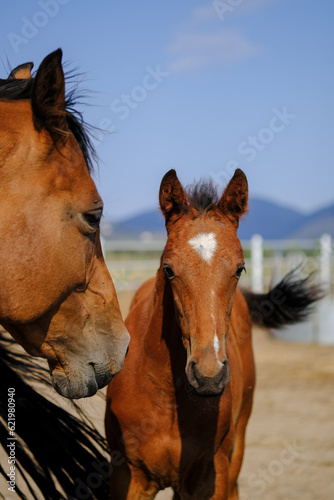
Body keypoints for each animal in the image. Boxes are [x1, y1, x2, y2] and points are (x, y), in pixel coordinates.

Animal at [105, 169, 320, 500]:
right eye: (168, 269)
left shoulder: (210, 477)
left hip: (237, 447)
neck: (167, 397)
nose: (208, 375)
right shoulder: (129, 477)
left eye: (240, 268)